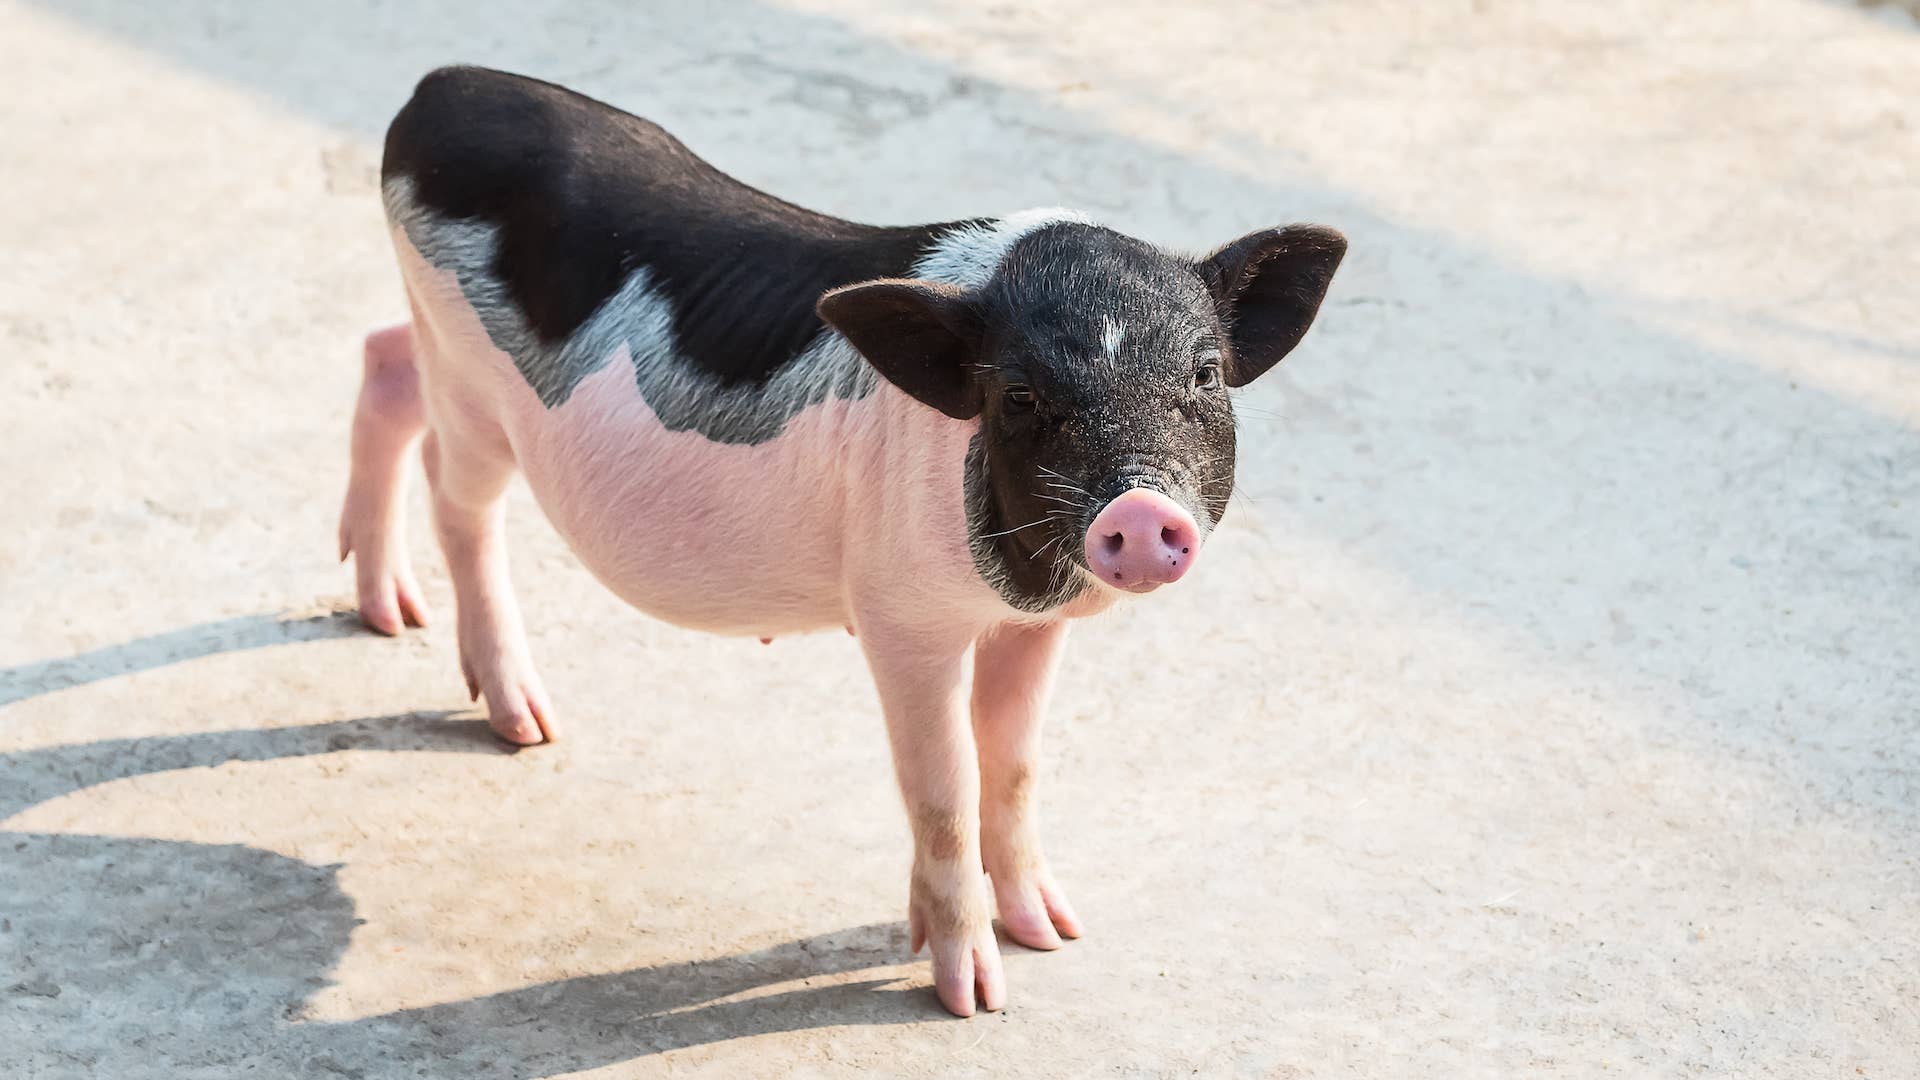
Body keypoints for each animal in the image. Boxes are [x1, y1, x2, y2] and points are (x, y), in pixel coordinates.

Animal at [338, 66, 1346, 1017]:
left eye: (1204, 374)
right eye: (1018, 394)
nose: (1136, 511)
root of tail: (441, 89)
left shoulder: (1032, 623)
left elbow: (1013, 762)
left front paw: (1056, 934)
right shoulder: (902, 616)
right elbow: (945, 787)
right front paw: (973, 998)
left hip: (433, 350)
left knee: (384, 360)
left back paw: (390, 615)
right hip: (470, 383)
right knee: (456, 496)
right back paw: (525, 723)